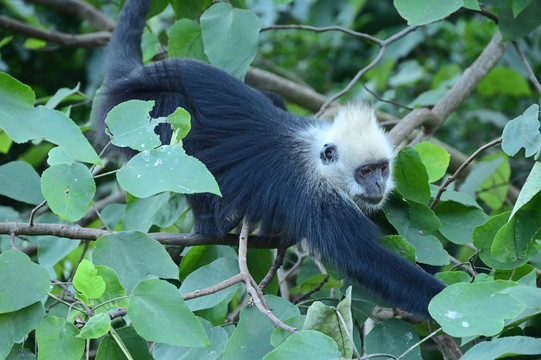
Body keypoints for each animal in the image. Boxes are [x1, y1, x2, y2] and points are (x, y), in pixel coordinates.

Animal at [92, 0, 442, 318]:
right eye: (366, 171)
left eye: (382, 169)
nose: (379, 185)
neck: (317, 160)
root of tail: (132, 77)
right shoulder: (315, 196)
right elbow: (364, 259)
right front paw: (446, 301)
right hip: (133, 114)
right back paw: (215, 222)